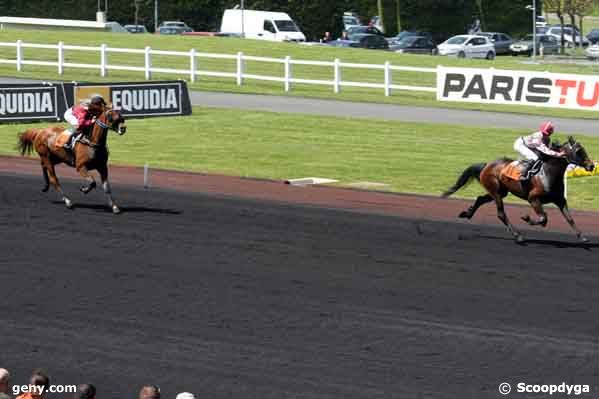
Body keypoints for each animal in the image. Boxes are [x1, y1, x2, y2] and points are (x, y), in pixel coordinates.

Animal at [440, 138, 596, 244]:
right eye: (578, 151)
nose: (591, 166)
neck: (548, 173)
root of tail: (487, 165)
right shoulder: (533, 198)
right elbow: (543, 218)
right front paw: (527, 218)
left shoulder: (560, 200)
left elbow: (569, 218)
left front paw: (582, 237)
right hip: (496, 192)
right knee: (501, 214)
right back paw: (518, 236)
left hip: (500, 191)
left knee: (480, 199)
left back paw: (467, 213)